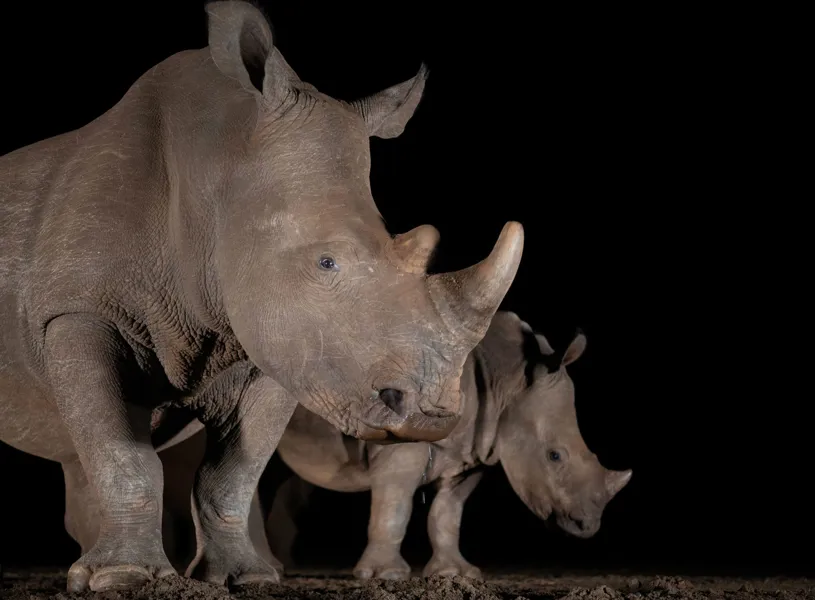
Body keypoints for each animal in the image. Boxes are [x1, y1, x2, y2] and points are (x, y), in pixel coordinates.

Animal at [0, 1, 524, 592]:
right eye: (326, 262)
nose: (432, 417)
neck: (220, 170)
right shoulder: (79, 311)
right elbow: (122, 453)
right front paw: (125, 577)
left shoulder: (284, 342)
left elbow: (233, 473)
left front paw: (244, 578)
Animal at [151, 311, 633, 579]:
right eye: (555, 456)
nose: (588, 526)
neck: (506, 380)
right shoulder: (405, 442)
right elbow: (396, 506)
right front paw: (385, 576)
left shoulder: (472, 454)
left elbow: (447, 514)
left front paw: (458, 574)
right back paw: (265, 571)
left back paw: (272, 568)